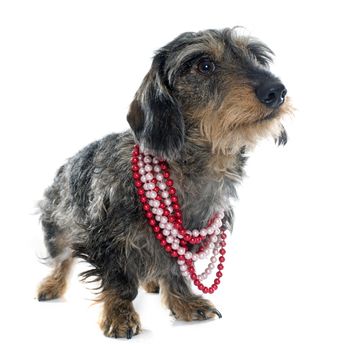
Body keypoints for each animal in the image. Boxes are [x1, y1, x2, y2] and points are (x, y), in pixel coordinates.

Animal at [37, 28, 292, 340]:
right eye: (204, 65)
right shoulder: (104, 239)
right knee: (61, 259)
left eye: (255, 58)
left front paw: (185, 302)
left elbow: (174, 270)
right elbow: (118, 280)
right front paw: (120, 315)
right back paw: (52, 285)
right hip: (58, 225)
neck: (187, 168)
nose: (276, 91)